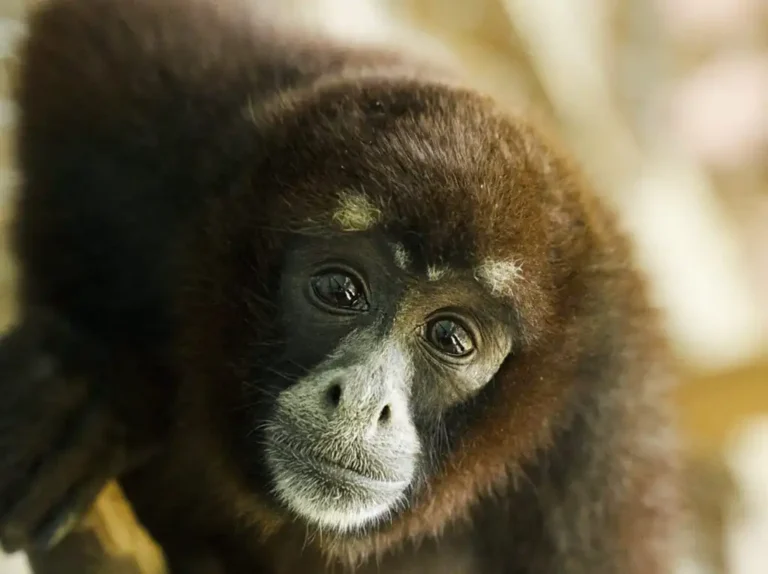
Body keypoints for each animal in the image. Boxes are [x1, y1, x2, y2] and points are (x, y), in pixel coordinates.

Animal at [0, 0, 681, 571]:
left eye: (451, 338)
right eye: (341, 292)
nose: (361, 400)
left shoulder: (597, 462)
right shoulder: (173, 104)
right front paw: (99, 380)